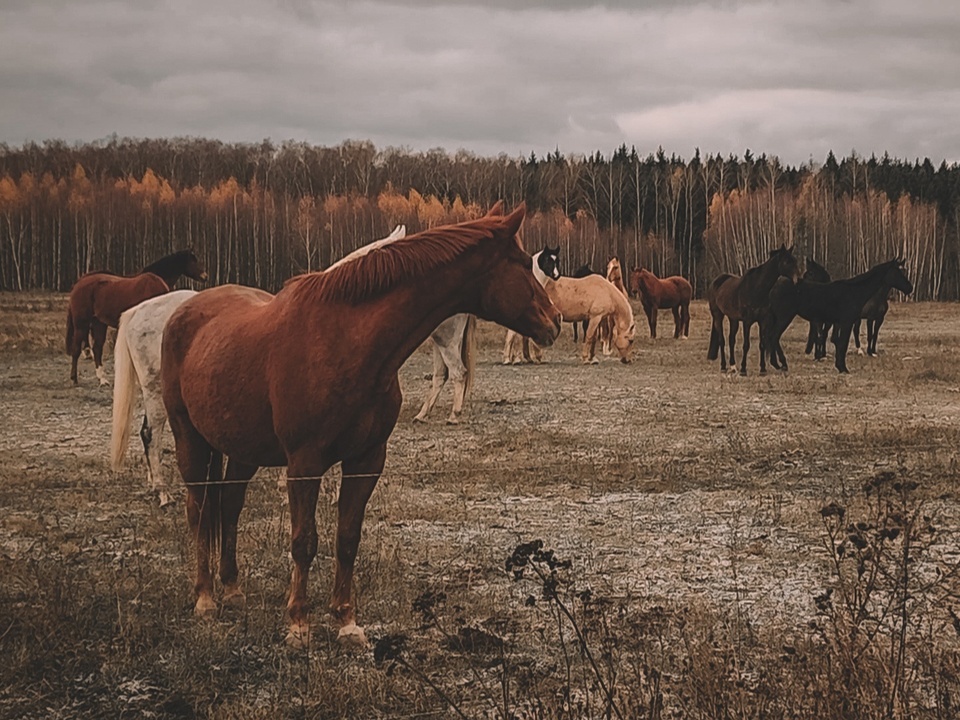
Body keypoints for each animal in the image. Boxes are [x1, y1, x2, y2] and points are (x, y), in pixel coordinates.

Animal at [67, 249, 206, 386]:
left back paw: (102, 379)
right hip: (81, 323)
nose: (205, 276)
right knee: (76, 349)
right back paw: (74, 378)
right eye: (193, 260)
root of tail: (78, 284)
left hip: (98, 323)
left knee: (97, 348)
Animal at [160, 202, 560, 648]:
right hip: (190, 439)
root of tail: (186, 311)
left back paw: (231, 588)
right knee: (198, 510)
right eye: (523, 263)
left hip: (242, 448)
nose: (556, 321)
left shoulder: (367, 460)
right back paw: (205, 598)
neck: (346, 343)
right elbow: (304, 541)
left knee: (229, 506)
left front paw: (346, 621)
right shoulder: (304, 463)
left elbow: (347, 538)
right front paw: (299, 623)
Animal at [708, 245, 800, 374]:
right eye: (787, 262)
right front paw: (743, 369)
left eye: (795, 261)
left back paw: (733, 366)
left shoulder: (763, 321)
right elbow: (746, 344)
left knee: (731, 340)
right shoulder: (747, 321)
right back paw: (723, 366)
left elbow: (762, 344)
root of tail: (717, 281)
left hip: (733, 319)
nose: (797, 280)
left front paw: (762, 369)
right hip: (718, 316)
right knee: (722, 340)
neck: (756, 289)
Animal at [764, 256, 916, 374]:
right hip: (784, 317)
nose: (910, 288)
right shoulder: (846, 322)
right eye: (898, 272)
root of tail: (774, 287)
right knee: (774, 336)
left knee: (772, 337)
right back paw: (782, 364)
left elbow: (838, 342)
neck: (854, 291)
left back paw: (776, 364)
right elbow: (842, 343)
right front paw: (843, 368)